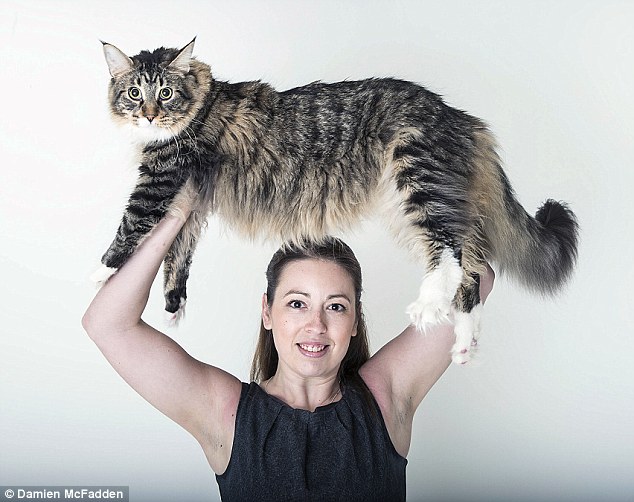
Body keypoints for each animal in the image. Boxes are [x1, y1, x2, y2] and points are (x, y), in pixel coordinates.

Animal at [90, 37, 576, 362]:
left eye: (165, 93)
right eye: (134, 93)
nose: (149, 114)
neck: (201, 103)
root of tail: (460, 118)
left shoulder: (161, 179)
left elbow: (131, 225)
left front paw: (100, 275)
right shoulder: (189, 205)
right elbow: (178, 253)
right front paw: (174, 306)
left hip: (415, 176)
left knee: (452, 253)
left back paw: (427, 306)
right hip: (412, 204)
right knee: (475, 271)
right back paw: (461, 341)